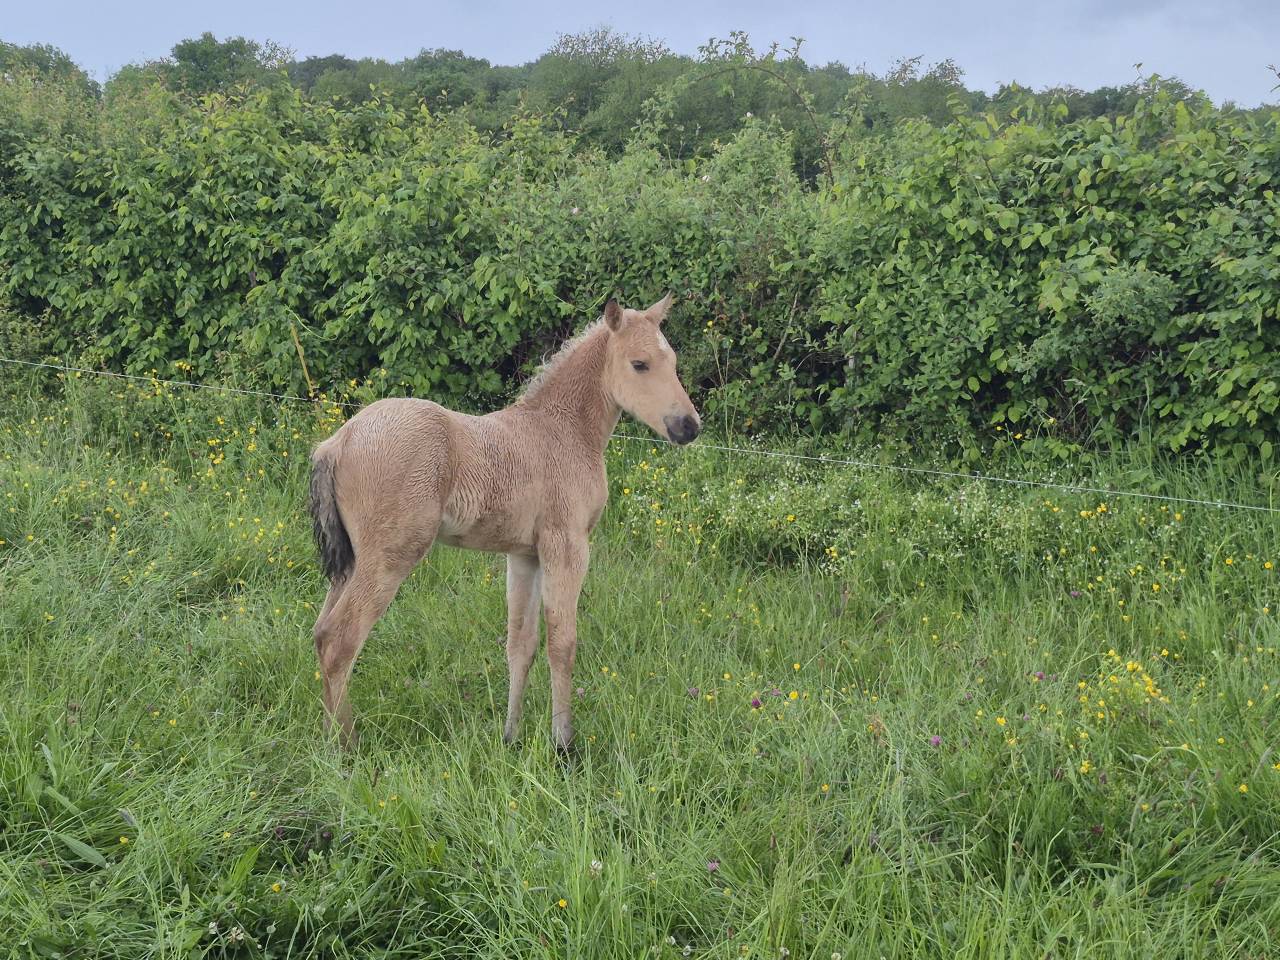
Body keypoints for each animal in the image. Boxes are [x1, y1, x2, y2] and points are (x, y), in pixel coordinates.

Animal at [308, 294, 701, 751]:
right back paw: (345, 746)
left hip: (353, 561)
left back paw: (327, 738)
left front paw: (511, 735)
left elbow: (521, 645)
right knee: (340, 639)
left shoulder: (524, 555)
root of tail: (339, 441)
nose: (688, 427)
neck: (563, 430)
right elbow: (562, 643)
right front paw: (562, 743)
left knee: (321, 633)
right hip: (391, 556)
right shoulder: (567, 546)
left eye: (672, 361)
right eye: (639, 364)